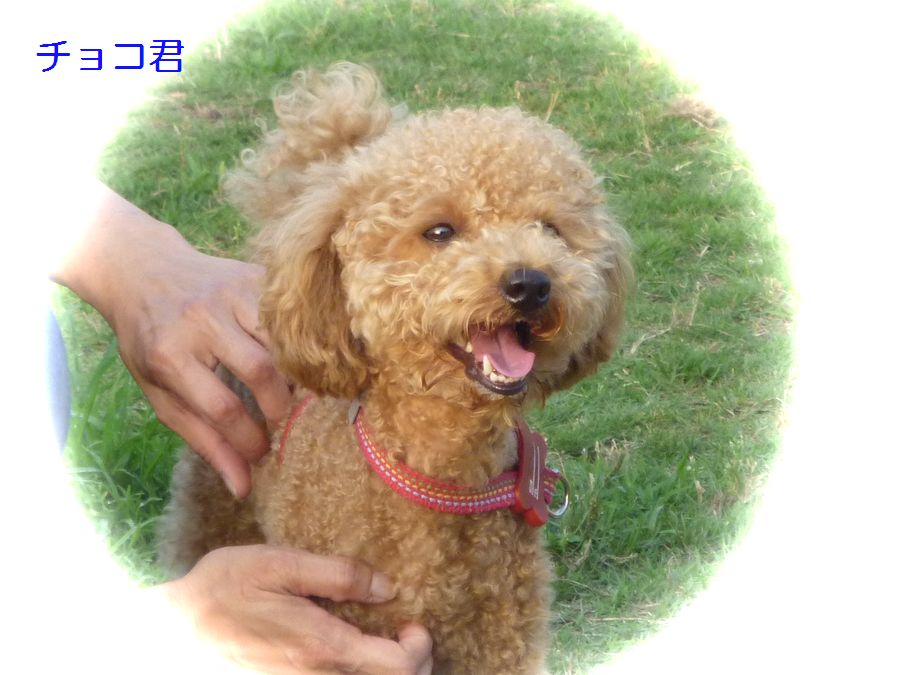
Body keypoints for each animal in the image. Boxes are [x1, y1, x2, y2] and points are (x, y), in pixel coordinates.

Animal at [158, 62, 630, 673]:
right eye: (439, 232)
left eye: (551, 228)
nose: (530, 283)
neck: (442, 475)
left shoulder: (500, 640)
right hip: (215, 501)